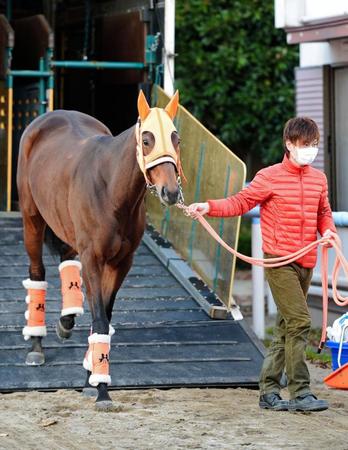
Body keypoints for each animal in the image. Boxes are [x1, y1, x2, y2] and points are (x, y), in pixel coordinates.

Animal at [17, 89, 184, 410]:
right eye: (147, 139)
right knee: (37, 272)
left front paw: (91, 379)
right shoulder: (94, 258)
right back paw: (36, 346)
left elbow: (102, 317)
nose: (171, 192)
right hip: (32, 219)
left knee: (67, 261)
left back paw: (66, 322)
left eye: (176, 138)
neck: (110, 189)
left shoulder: (121, 262)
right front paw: (102, 390)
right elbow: (100, 319)